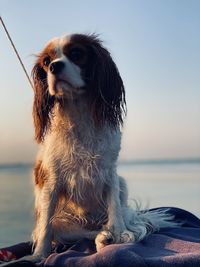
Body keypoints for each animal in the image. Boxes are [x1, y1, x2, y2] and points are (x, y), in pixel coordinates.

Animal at [2, 33, 177, 266]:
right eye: (46, 62)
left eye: (76, 53)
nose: (54, 67)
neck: (79, 114)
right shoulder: (51, 184)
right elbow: (45, 226)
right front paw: (38, 255)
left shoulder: (110, 173)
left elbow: (114, 210)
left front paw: (120, 235)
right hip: (65, 224)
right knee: (86, 233)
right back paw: (103, 237)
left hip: (121, 184)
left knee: (119, 220)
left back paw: (116, 234)